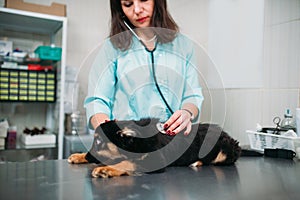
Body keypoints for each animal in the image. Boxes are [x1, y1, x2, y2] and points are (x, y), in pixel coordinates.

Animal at [68, 118, 241, 177]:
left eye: (98, 142)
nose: (88, 157)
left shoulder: (155, 160)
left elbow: (128, 162)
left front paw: (106, 169)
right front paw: (78, 155)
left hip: (225, 150)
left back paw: (196, 162)